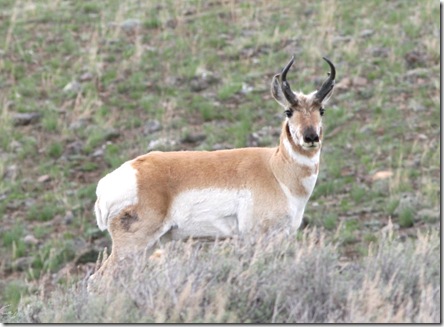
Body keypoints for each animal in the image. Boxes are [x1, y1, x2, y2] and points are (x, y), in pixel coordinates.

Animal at [89, 55, 336, 284]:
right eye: (288, 111)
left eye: (322, 110)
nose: (311, 137)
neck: (275, 169)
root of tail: (109, 183)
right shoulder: (258, 237)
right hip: (133, 244)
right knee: (99, 280)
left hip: (149, 246)